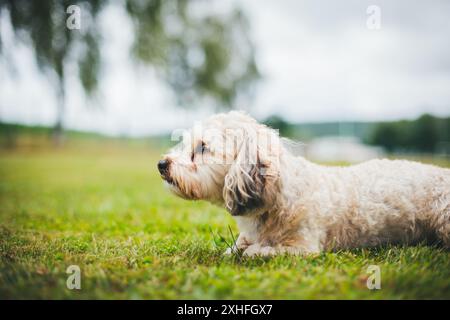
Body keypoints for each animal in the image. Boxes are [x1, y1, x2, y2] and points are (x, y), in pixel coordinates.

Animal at [158, 111, 450, 256]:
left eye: (202, 148)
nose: (161, 164)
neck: (275, 196)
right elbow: (235, 248)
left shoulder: (303, 248)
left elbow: (255, 252)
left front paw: (253, 250)